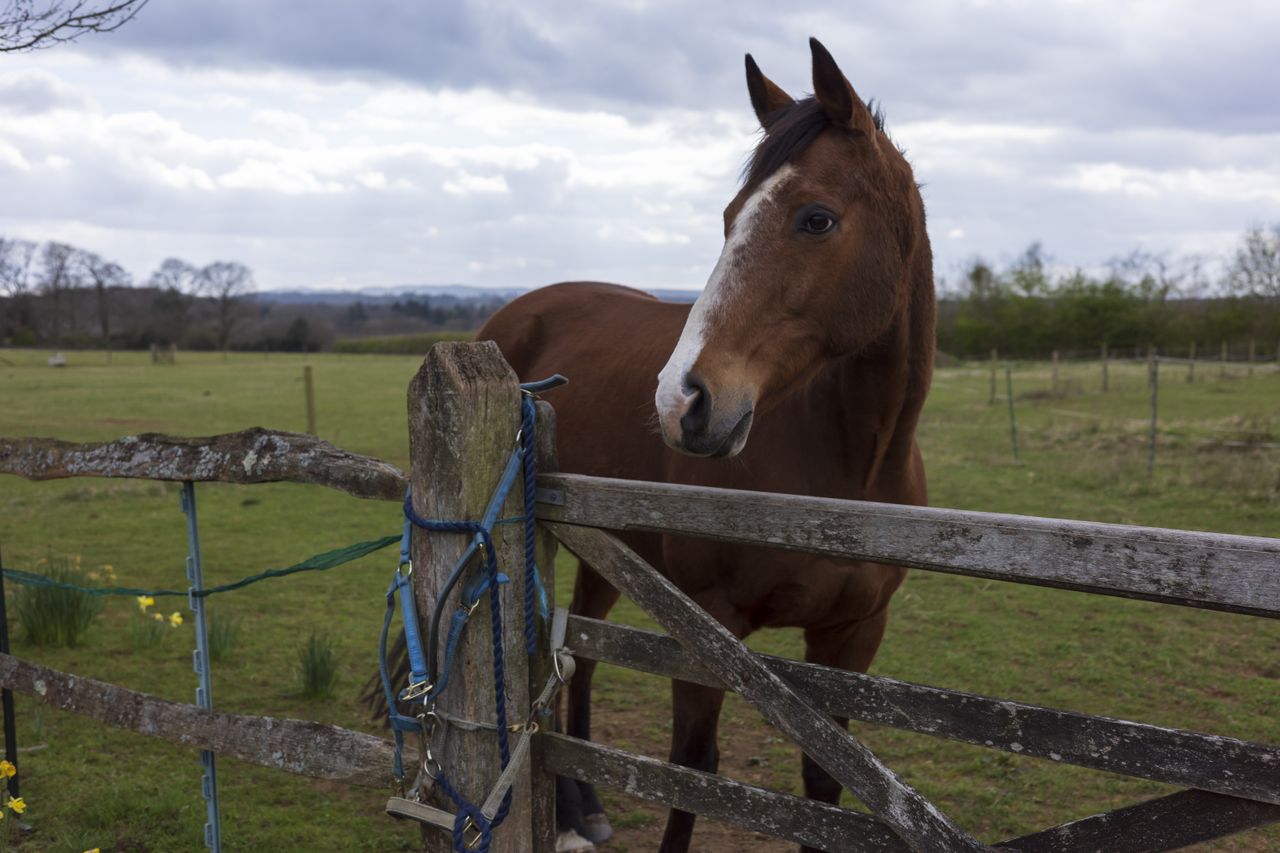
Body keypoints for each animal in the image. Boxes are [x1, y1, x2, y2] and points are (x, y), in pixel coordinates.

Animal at [476, 37, 936, 853]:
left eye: (816, 219)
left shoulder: (852, 634)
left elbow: (825, 784)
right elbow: (693, 767)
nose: (681, 400)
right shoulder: (708, 621)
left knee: (582, 656)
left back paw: (585, 806)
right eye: (728, 217)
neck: (850, 473)